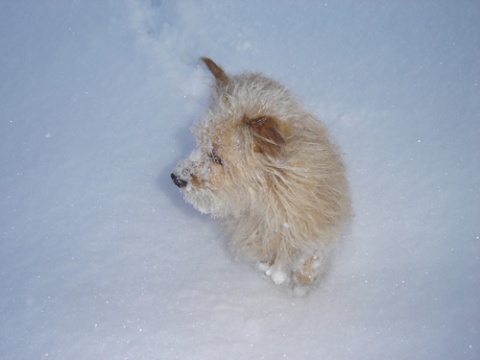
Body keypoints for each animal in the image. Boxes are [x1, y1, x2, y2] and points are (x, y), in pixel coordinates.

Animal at [171, 57, 350, 296]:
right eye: (199, 144)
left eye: (216, 157)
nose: (176, 178)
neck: (268, 196)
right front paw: (274, 272)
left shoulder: (317, 222)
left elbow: (310, 256)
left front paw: (301, 284)